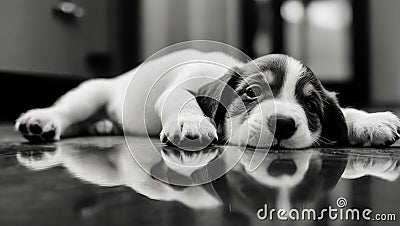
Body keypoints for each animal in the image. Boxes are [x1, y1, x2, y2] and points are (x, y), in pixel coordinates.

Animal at [14, 49, 400, 148]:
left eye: (311, 106)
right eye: (251, 93)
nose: (283, 124)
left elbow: (345, 110)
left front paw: (369, 121)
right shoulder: (178, 89)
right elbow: (184, 101)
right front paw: (192, 122)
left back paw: (102, 127)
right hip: (90, 93)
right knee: (66, 111)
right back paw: (41, 121)